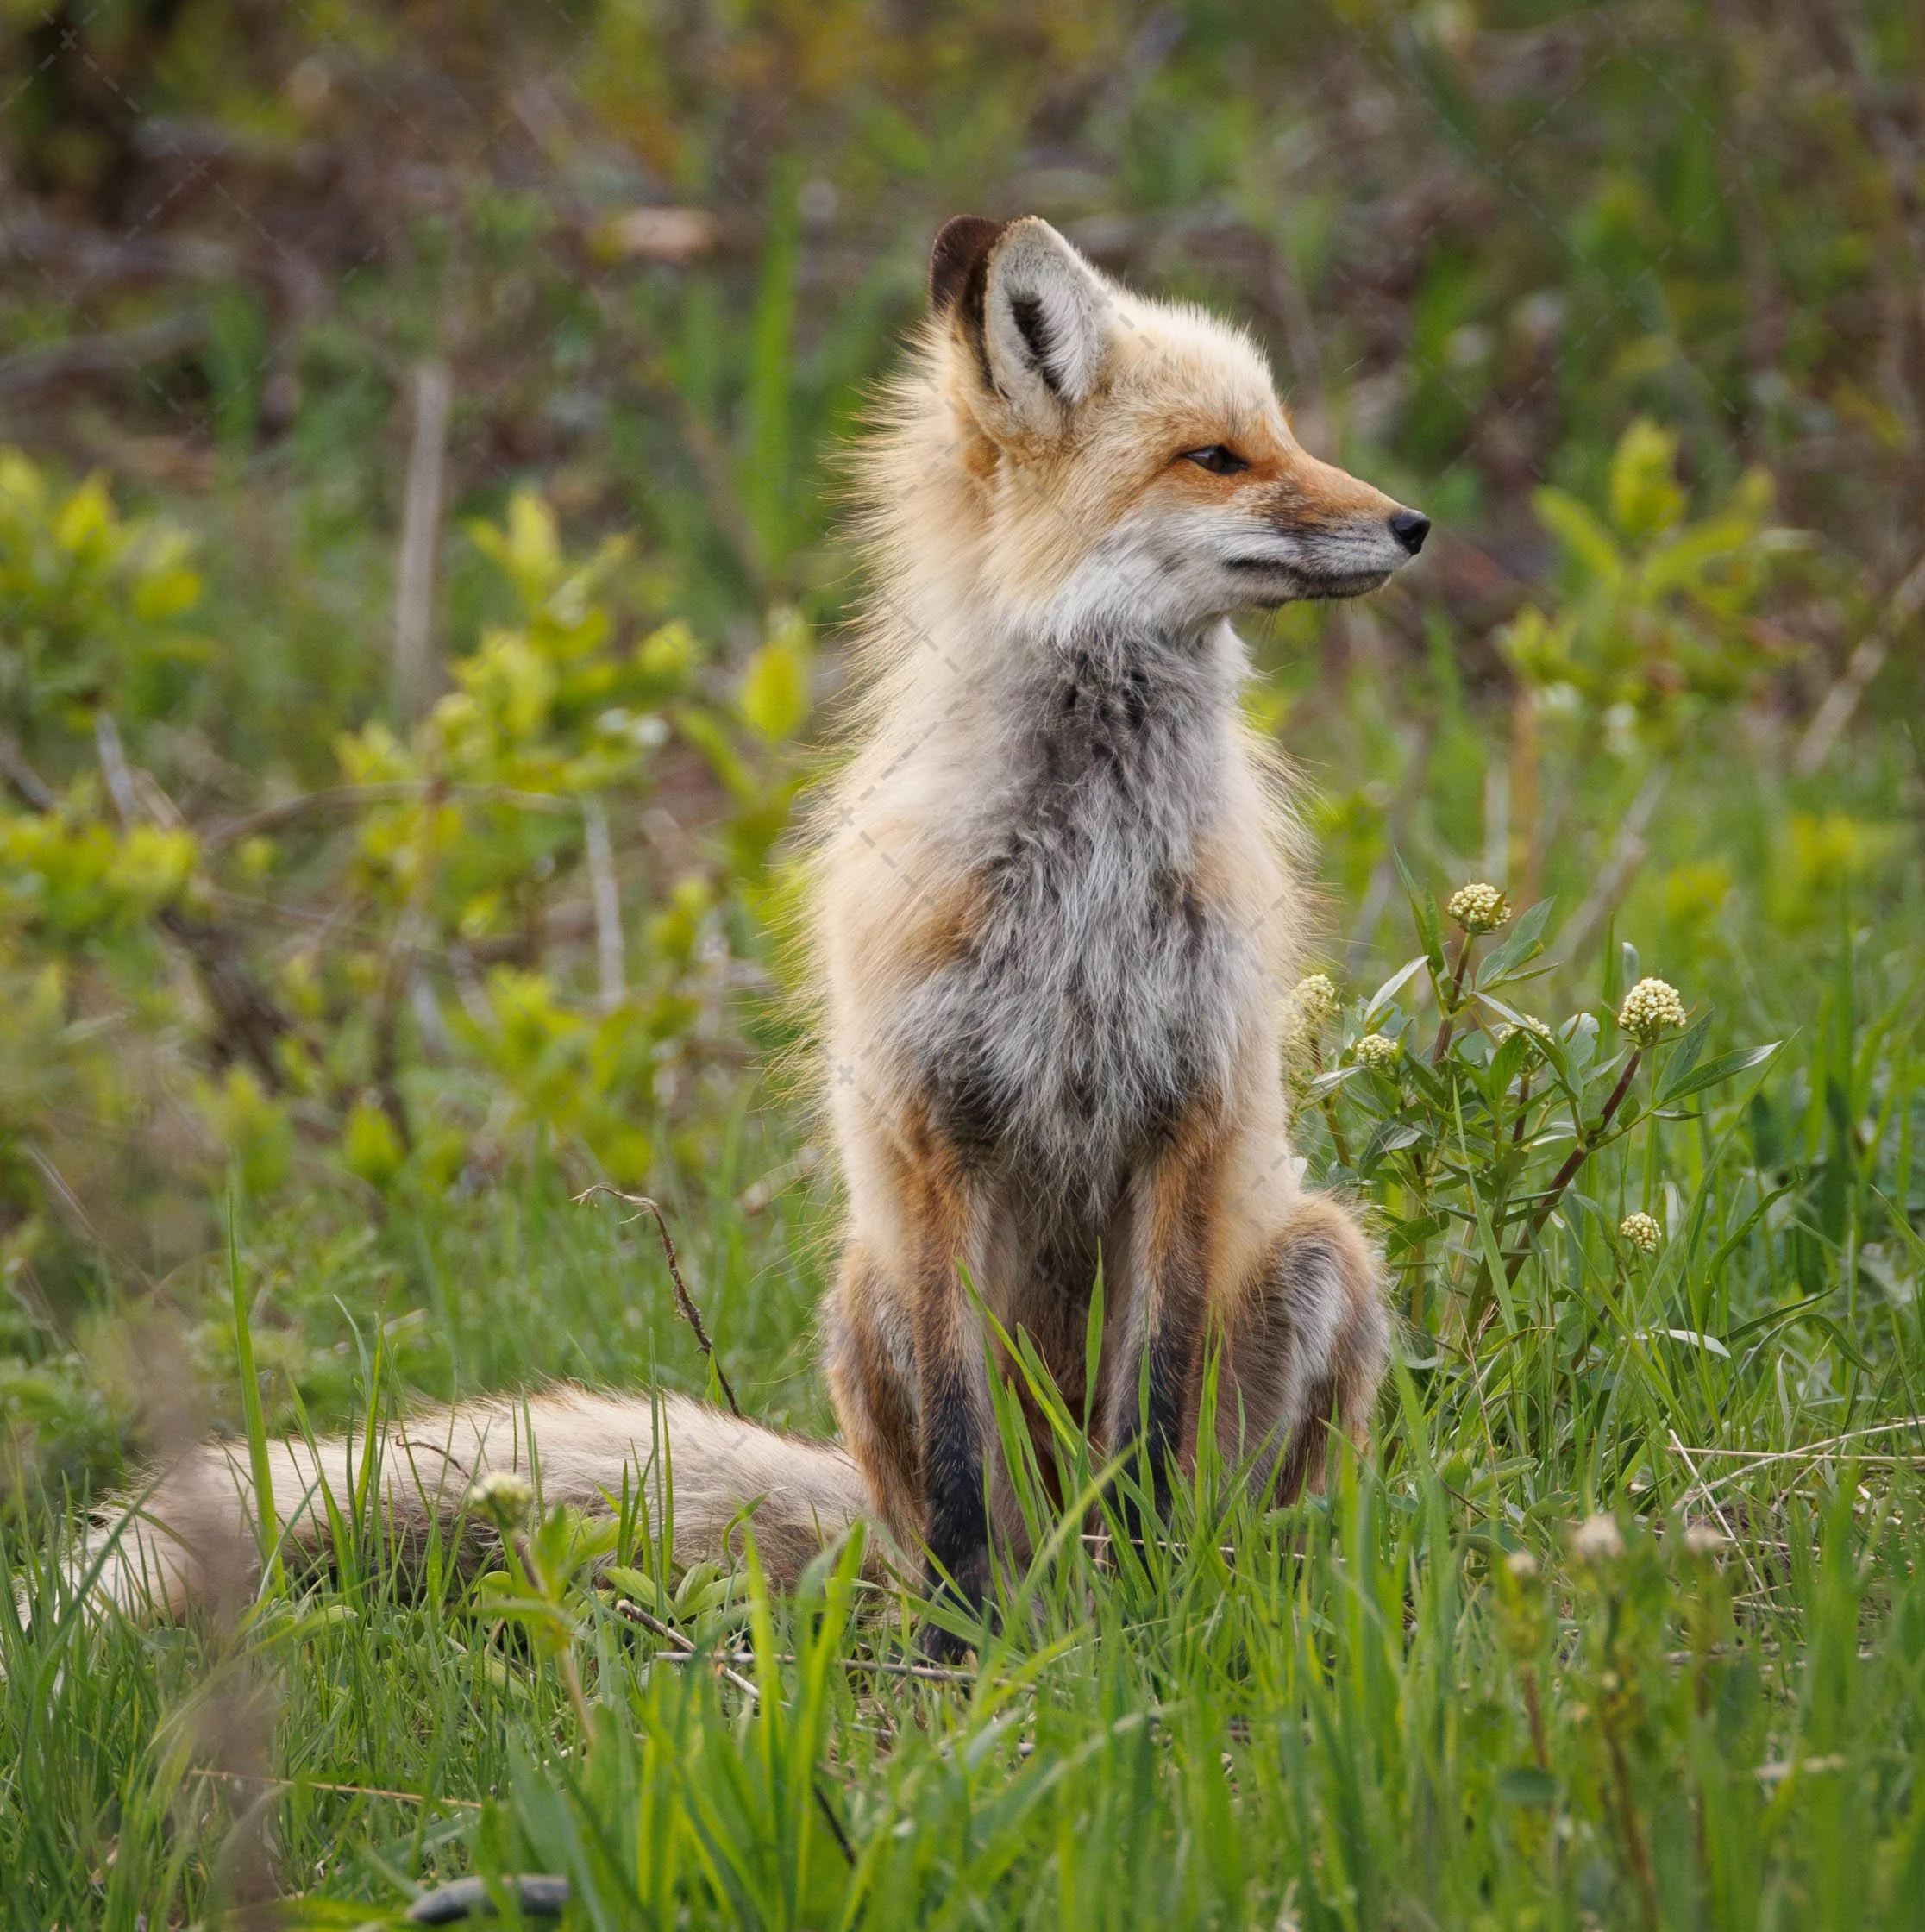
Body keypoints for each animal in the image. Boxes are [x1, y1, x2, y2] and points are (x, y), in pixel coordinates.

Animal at [64, 216, 1425, 1637]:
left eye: (1281, 433)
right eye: (1218, 457)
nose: (1413, 524)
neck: (1081, 883)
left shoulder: (1189, 1111)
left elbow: (1148, 1435)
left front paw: (1151, 1628)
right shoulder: (928, 1127)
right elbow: (957, 1454)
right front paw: (969, 1652)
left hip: (1321, 1251)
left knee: (1196, 1500)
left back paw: (1169, 1587)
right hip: (867, 1298)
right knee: (945, 1515)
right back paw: (987, 1607)